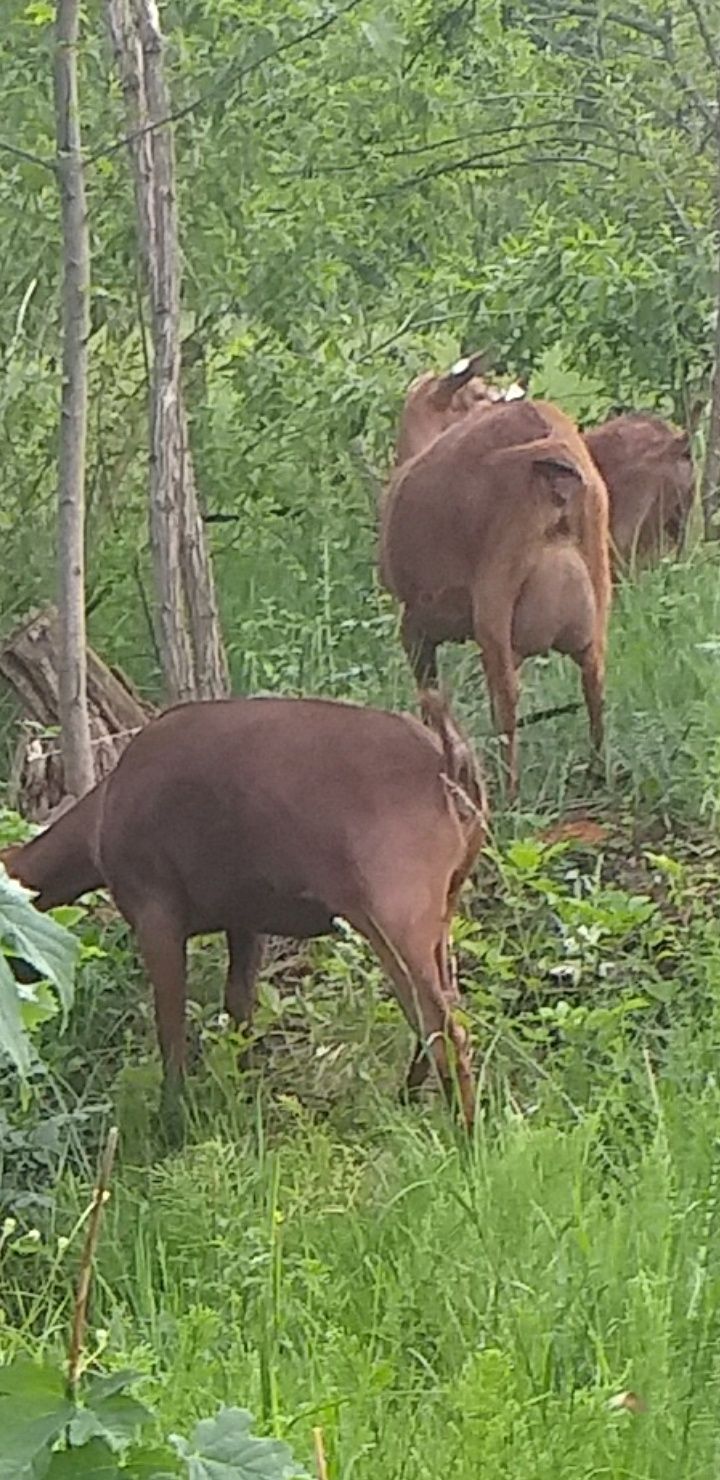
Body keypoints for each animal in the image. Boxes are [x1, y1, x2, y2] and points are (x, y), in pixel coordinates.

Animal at [1, 698, 482, 1124]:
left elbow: (170, 1029)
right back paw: (409, 1102)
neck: (100, 819)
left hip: (392, 911)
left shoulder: (155, 911)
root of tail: (449, 763)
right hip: (441, 911)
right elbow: (239, 1010)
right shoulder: (245, 919)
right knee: (446, 1010)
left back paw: (463, 1136)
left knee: (443, 1028)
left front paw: (171, 1124)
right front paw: (245, 1094)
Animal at [379, 399, 610, 799]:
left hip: (494, 600)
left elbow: (430, 697)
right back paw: (597, 774)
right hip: (597, 580)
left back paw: (509, 791)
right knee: (593, 678)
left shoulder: (416, 624)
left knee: (504, 695)